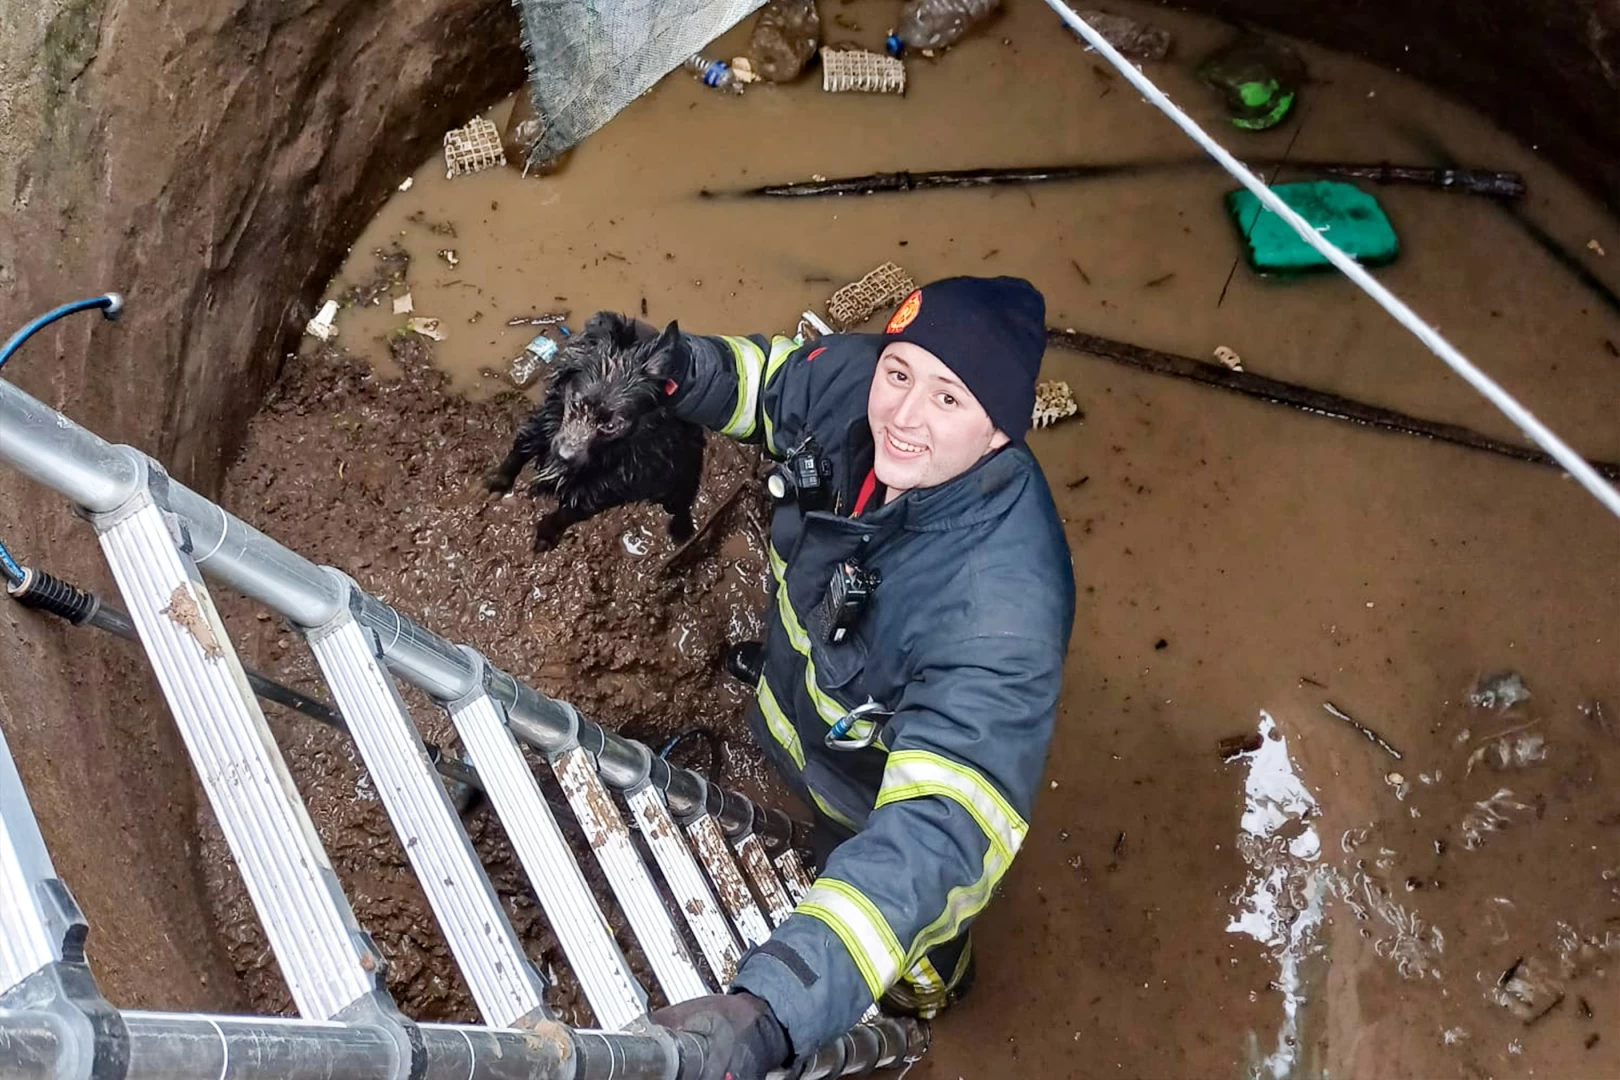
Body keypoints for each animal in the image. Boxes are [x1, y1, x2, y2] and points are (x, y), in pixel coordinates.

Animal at [482, 310, 706, 550]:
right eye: (575, 403)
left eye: (611, 426)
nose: (563, 456)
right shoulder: (542, 425)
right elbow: (518, 451)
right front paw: (497, 481)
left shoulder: (609, 484)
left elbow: (568, 512)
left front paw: (546, 533)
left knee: (681, 503)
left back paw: (682, 528)